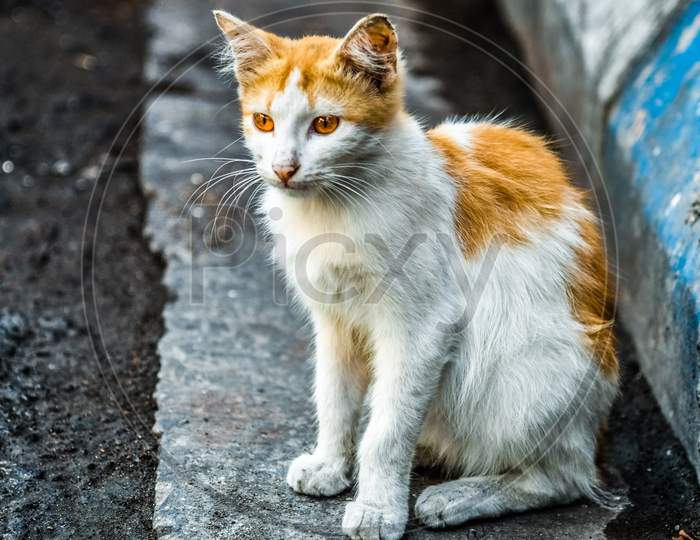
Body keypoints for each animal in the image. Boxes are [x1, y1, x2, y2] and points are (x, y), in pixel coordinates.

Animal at [213, 9, 616, 540]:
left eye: (325, 124)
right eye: (264, 121)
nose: (283, 168)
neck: (338, 205)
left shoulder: (424, 326)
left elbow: (387, 432)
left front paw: (378, 508)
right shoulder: (334, 321)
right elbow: (334, 397)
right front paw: (330, 465)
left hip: (524, 370)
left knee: (563, 477)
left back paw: (459, 495)